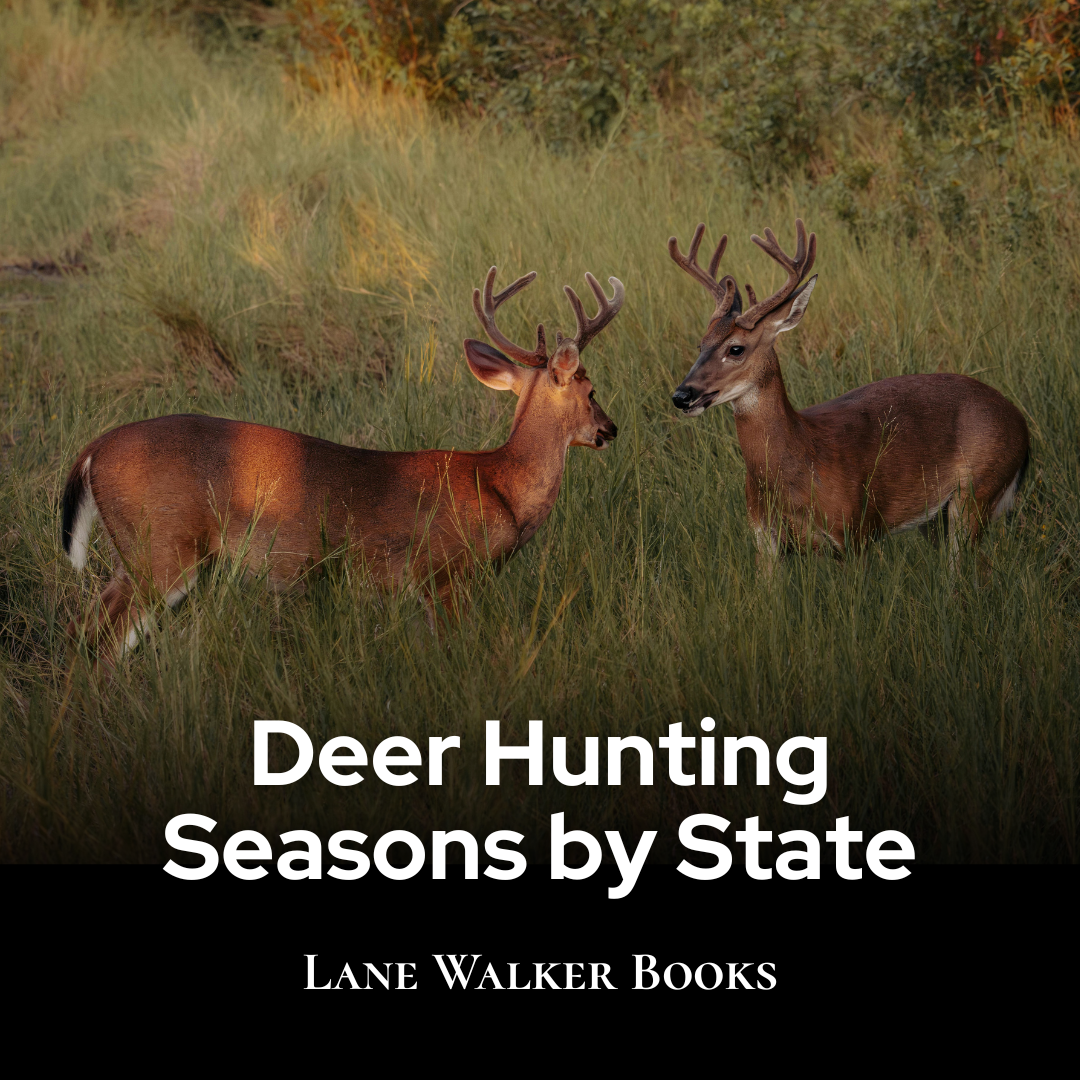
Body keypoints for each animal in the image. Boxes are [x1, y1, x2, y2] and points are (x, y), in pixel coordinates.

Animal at [60, 265, 623, 660]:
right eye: (592, 390)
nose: (610, 429)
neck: (501, 486)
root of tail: (92, 451)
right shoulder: (443, 574)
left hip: (134, 550)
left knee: (84, 627)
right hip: (165, 547)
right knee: (105, 640)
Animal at [668, 219, 1029, 566]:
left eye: (736, 348)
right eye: (700, 344)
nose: (682, 396)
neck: (802, 459)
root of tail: (1021, 424)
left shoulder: (854, 531)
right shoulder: (764, 540)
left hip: (979, 490)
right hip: (937, 518)